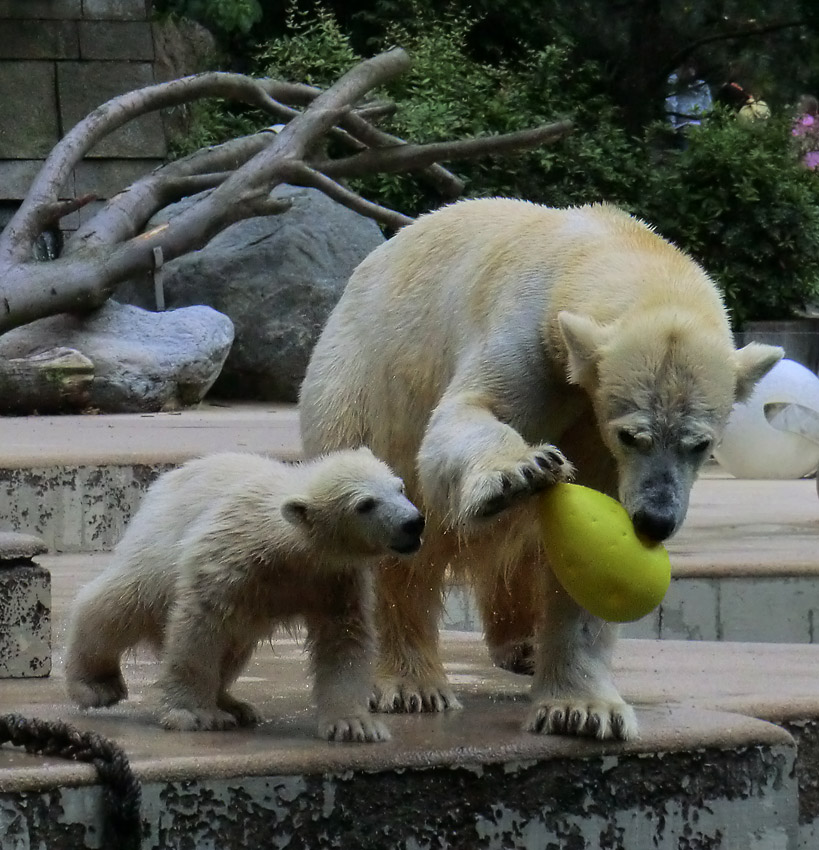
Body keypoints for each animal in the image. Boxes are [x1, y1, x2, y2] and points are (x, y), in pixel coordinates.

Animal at [300, 197, 780, 736]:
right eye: (631, 435)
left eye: (700, 444)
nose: (656, 519)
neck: (599, 248)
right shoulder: (530, 335)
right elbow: (468, 415)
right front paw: (520, 472)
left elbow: (586, 556)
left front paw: (583, 710)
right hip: (366, 392)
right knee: (393, 546)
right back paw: (413, 685)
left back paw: (523, 646)